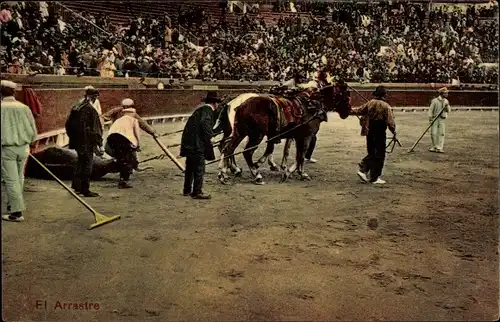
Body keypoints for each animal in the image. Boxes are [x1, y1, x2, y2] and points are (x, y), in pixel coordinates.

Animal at [219, 81, 352, 184]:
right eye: (346, 97)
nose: (348, 112)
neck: (311, 105)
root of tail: (240, 105)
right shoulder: (306, 136)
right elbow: (300, 156)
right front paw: (292, 172)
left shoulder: (296, 137)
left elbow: (292, 153)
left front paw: (293, 171)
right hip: (256, 135)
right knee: (246, 152)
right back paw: (256, 175)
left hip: (240, 133)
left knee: (227, 149)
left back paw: (224, 174)